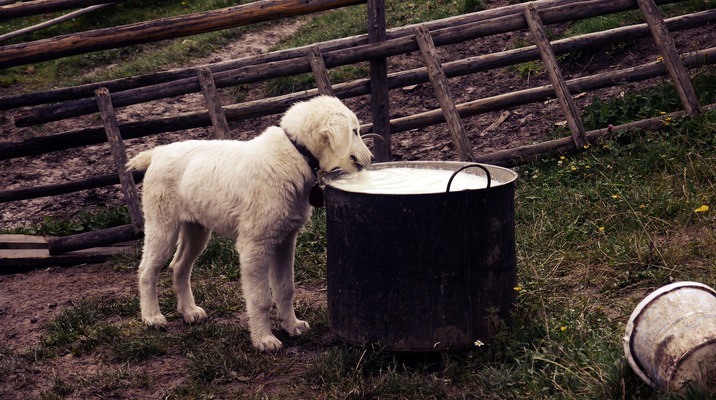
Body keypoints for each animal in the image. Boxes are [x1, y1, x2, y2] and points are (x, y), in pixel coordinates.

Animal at [126, 95, 372, 352]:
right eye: (354, 131)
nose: (372, 159)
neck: (296, 153)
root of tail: (158, 152)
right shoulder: (255, 245)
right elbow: (261, 298)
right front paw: (264, 339)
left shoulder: (286, 239)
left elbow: (286, 288)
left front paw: (291, 325)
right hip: (162, 224)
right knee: (147, 270)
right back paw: (152, 317)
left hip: (197, 229)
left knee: (179, 266)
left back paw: (189, 312)